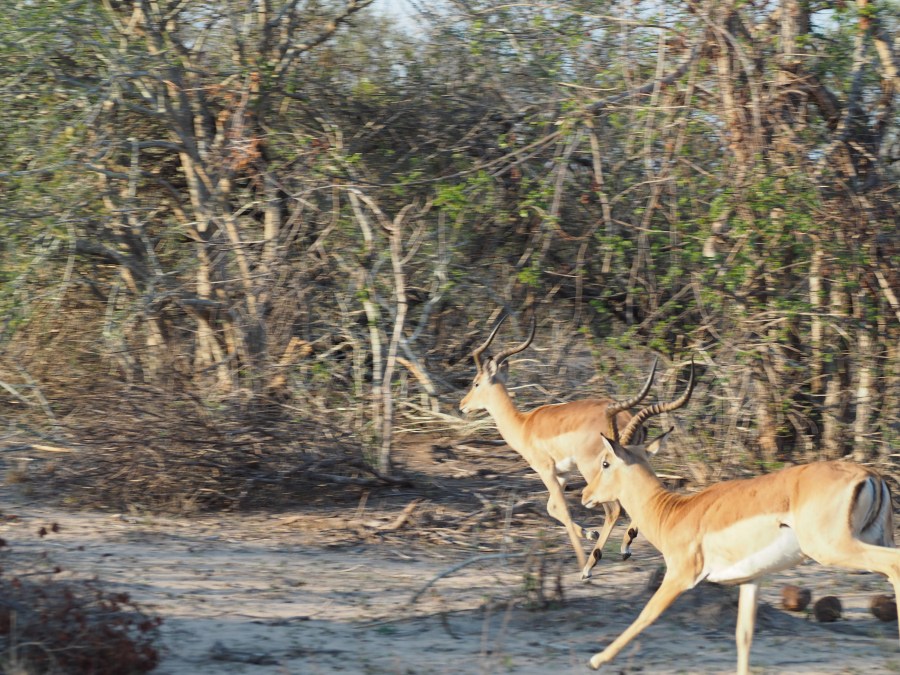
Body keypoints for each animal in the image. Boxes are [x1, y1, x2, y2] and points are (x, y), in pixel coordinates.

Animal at [459, 311, 694, 576]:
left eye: (476, 382)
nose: (462, 405)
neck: (524, 424)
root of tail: (626, 416)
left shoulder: (546, 470)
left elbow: (561, 507)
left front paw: (583, 559)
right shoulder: (562, 474)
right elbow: (552, 508)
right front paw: (590, 533)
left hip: (590, 468)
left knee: (614, 509)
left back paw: (591, 565)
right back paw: (625, 546)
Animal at [581, 430, 900, 673]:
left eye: (606, 462)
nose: (585, 495)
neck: (673, 513)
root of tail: (870, 474)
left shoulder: (680, 576)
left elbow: (646, 614)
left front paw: (596, 660)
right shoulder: (751, 579)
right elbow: (743, 635)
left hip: (833, 548)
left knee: (894, 565)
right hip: (873, 539)